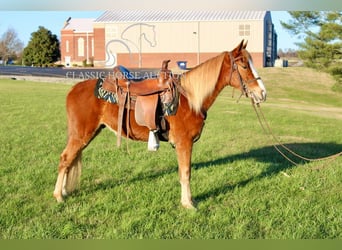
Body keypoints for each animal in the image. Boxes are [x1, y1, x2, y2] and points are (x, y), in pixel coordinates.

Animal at [53, 40, 268, 209]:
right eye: (244, 66)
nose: (262, 93)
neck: (189, 98)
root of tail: (73, 89)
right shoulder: (184, 143)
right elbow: (186, 173)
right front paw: (188, 204)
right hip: (81, 135)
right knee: (65, 159)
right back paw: (58, 196)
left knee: (70, 160)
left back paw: (63, 192)